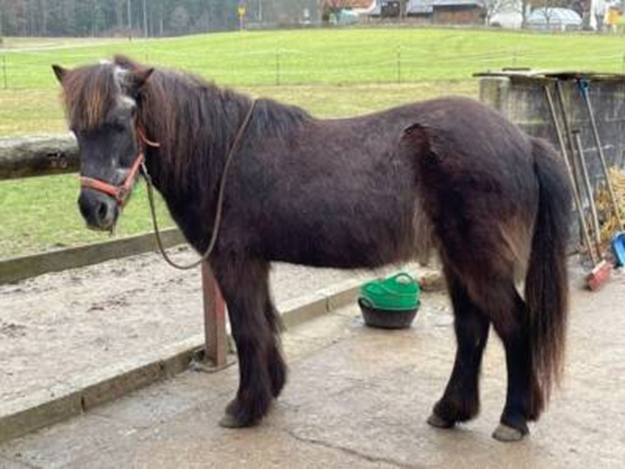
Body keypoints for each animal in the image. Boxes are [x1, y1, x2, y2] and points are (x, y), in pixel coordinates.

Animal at [53, 56, 572, 440]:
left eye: (122, 121)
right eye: (77, 128)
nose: (94, 208)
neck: (221, 153)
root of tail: (524, 141)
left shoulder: (233, 260)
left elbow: (247, 328)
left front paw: (244, 407)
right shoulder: (255, 261)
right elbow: (265, 322)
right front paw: (271, 389)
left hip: (479, 262)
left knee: (514, 325)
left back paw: (513, 419)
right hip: (457, 260)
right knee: (471, 329)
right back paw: (450, 410)